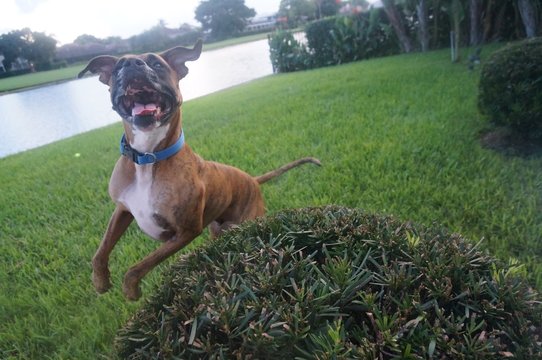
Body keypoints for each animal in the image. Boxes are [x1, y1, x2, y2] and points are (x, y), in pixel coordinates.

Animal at [78, 39, 320, 300]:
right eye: (116, 68)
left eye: (156, 63)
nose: (131, 64)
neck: (148, 158)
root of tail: (253, 180)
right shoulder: (123, 209)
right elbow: (101, 249)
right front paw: (100, 280)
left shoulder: (186, 231)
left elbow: (138, 266)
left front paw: (130, 289)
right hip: (218, 228)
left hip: (242, 223)